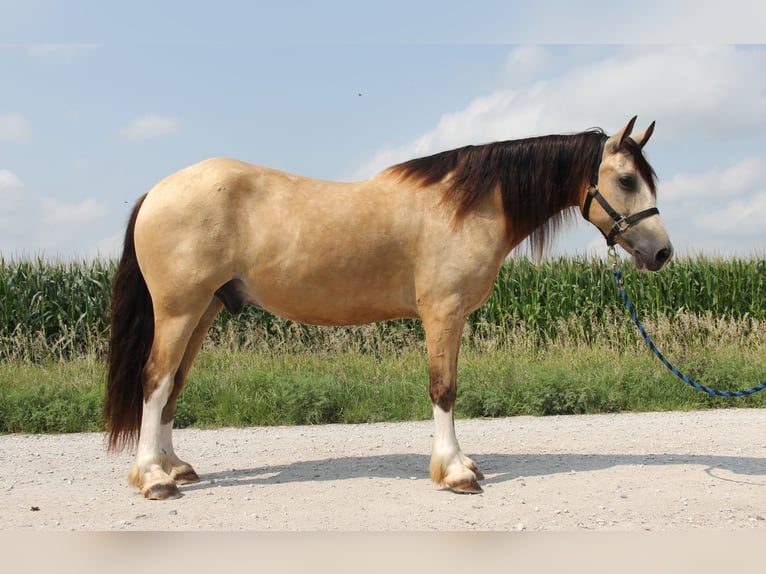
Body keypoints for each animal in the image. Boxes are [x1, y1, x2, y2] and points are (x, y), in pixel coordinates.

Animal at [106, 116, 672, 500]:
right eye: (626, 179)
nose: (662, 253)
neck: (466, 205)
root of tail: (157, 191)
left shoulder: (452, 318)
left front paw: (463, 462)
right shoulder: (443, 313)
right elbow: (444, 390)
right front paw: (454, 472)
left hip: (203, 311)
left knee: (173, 385)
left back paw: (174, 466)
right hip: (179, 310)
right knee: (155, 379)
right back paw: (154, 478)